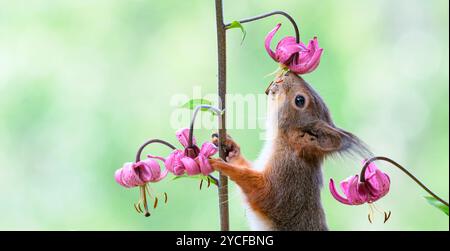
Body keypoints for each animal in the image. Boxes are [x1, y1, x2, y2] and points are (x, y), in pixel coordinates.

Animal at [209, 71, 370, 230]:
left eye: (299, 100)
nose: (288, 73)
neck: (286, 146)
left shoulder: (288, 179)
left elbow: (262, 192)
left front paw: (225, 166)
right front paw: (231, 148)